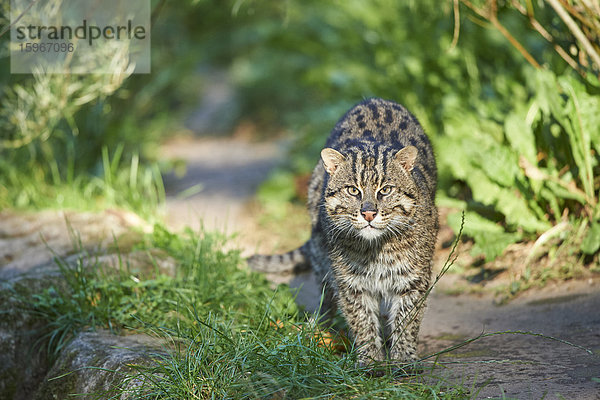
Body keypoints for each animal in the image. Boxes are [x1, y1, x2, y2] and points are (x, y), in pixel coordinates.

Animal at [246, 97, 438, 368]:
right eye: (353, 190)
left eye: (385, 190)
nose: (368, 213)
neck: (375, 249)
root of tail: (375, 98)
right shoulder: (350, 281)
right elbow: (361, 319)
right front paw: (370, 360)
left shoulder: (413, 278)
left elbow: (407, 319)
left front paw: (403, 359)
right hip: (322, 258)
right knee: (325, 296)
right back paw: (319, 329)